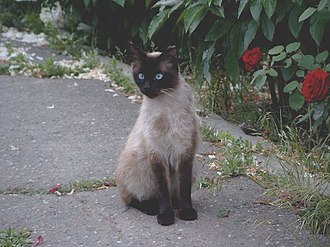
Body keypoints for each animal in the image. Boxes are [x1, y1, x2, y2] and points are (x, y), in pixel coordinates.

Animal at [114, 43, 200, 226]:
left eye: (158, 76)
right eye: (141, 76)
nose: (146, 87)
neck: (165, 106)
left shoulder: (184, 152)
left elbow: (185, 189)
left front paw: (186, 212)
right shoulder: (156, 154)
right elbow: (162, 190)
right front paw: (166, 217)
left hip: (194, 167)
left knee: (173, 194)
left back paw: (176, 204)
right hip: (133, 162)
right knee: (134, 199)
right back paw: (153, 209)